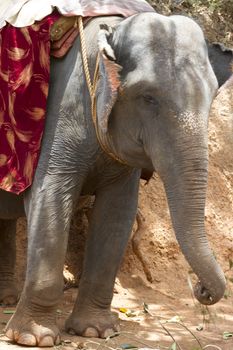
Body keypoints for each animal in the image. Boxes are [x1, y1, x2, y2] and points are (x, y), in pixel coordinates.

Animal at [0, 11, 232, 348]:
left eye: (212, 96)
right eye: (147, 97)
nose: (199, 289)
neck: (114, 26)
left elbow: (117, 213)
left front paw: (96, 331)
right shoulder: (63, 109)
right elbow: (50, 197)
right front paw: (33, 337)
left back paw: (6, 298)